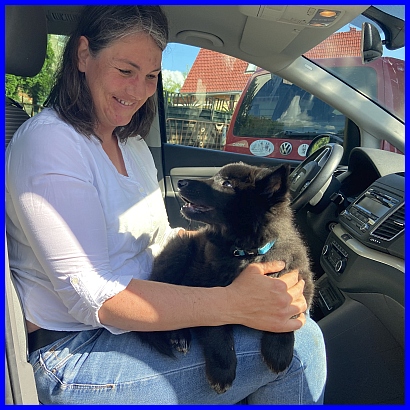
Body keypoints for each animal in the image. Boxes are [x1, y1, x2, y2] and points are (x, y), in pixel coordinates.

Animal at [138, 162, 314, 394]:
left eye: (227, 184)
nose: (181, 182)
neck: (246, 252)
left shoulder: (300, 281)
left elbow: (290, 314)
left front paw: (278, 351)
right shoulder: (209, 291)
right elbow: (217, 332)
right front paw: (222, 372)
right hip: (180, 251)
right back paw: (179, 336)